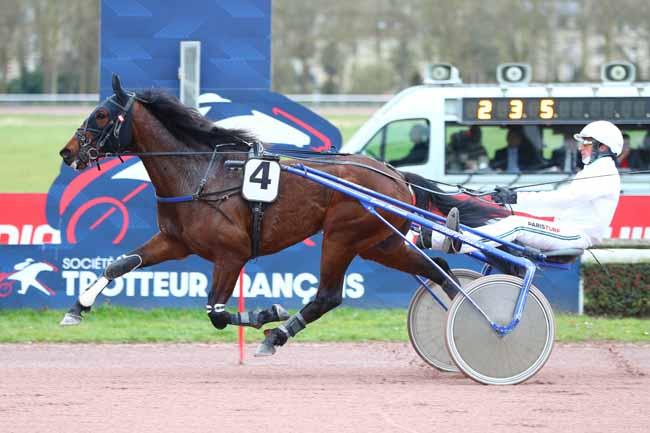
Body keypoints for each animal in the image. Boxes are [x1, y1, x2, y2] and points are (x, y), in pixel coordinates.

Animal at [58, 75, 504, 354]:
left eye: (101, 115)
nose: (67, 151)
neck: (201, 172)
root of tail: (395, 175)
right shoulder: (175, 242)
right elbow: (119, 264)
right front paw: (78, 307)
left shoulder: (231, 254)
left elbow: (216, 312)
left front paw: (268, 313)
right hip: (379, 242)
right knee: (437, 269)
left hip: (342, 236)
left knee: (328, 295)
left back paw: (276, 336)